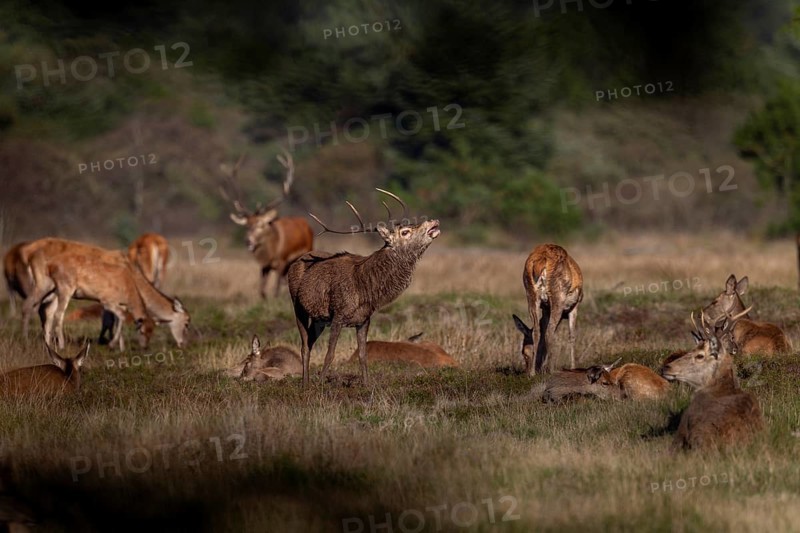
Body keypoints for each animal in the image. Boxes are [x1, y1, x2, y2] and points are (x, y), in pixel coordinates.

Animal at [221, 151, 314, 298]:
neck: (272, 253)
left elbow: (275, 290)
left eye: (261, 224)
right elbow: (262, 291)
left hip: (306, 251)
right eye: (247, 225)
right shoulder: (264, 266)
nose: (248, 241)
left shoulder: (282, 261)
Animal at [288, 190, 440, 386]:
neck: (365, 289)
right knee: (304, 345)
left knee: (310, 342)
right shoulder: (338, 314)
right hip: (297, 306)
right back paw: (305, 384)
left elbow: (363, 355)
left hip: (318, 319)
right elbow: (330, 354)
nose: (433, 221)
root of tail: (295, 262)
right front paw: (320, 384)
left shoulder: (364, 319)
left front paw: (367, 386)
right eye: (405, 232)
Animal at [520, 244, 583, 375]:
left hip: (531, 295)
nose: (525, 370)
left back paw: (533, 373)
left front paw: (540, 367)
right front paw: (573, 367)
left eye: (524, 352)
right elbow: (572, 335)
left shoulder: (545, 309)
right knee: (550, 331)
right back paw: (552, 369)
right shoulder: (574, 306)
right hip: (557, 297)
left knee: (537, 331)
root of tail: (539, 262)